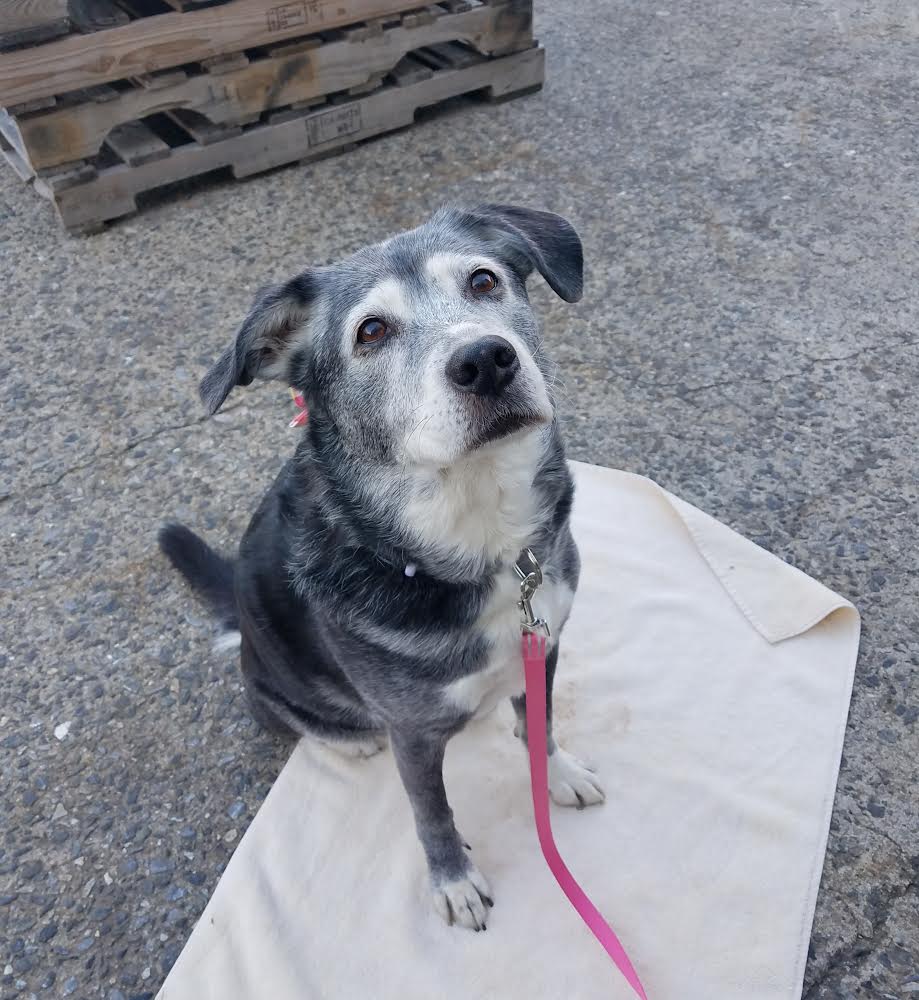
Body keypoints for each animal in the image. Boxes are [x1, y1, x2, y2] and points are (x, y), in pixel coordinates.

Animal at [159, 204, 604, 932]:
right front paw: (452, 881)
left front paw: (558, 776)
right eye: (371, 331)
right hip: (276, 692)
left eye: (484, 280)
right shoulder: (413, 734)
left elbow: (536, 726)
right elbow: (432, 811)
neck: (477, 538)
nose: (485, 360)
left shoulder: (544, 643)